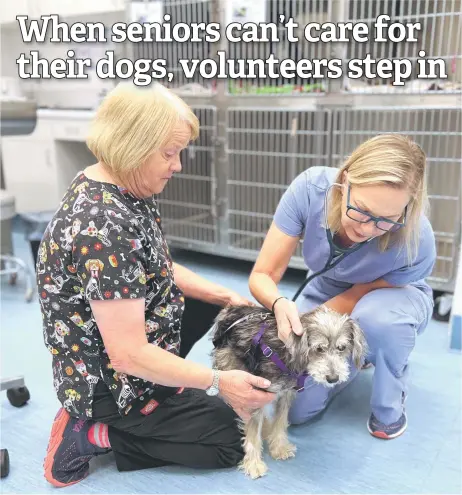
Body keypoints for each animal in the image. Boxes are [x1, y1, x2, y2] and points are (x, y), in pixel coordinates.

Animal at [211, 304, 366, 478]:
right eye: (319, 349)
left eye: (342, 348)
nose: (333, 378)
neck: (284, 353)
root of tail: (230, 310)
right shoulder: (254, 390)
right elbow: (253, 429)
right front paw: (253, 464)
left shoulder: (286, 394)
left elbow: (280, 421)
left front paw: (279, 448)